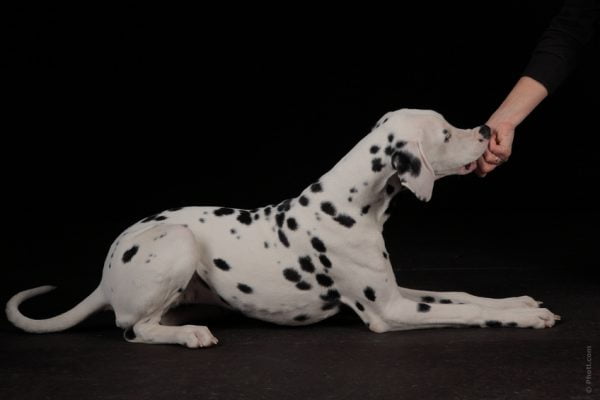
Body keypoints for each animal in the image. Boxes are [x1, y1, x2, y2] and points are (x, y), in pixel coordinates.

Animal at [4, 109, 560, 346]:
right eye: (447, 133)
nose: (487, 129)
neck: (348, 204)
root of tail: (104, 276)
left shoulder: (397, 291)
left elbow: (463, 294)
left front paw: (518, 301)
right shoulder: (391, 311)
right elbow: (467, 312)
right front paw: (526, 319)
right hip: (178, 242)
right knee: (135, 330)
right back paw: (190, 336)